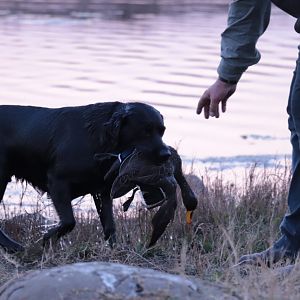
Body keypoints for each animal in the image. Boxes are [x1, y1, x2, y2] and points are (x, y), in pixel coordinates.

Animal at [0, 102, 170, 252]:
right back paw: (14, 247)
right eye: (146, 131)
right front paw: (47, 239)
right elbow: (69, 222)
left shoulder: (102, 191)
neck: (96, 140)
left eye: (162, 131)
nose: (167, 154)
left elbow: (110, 226)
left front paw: (116, 251)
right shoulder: (57, 181)